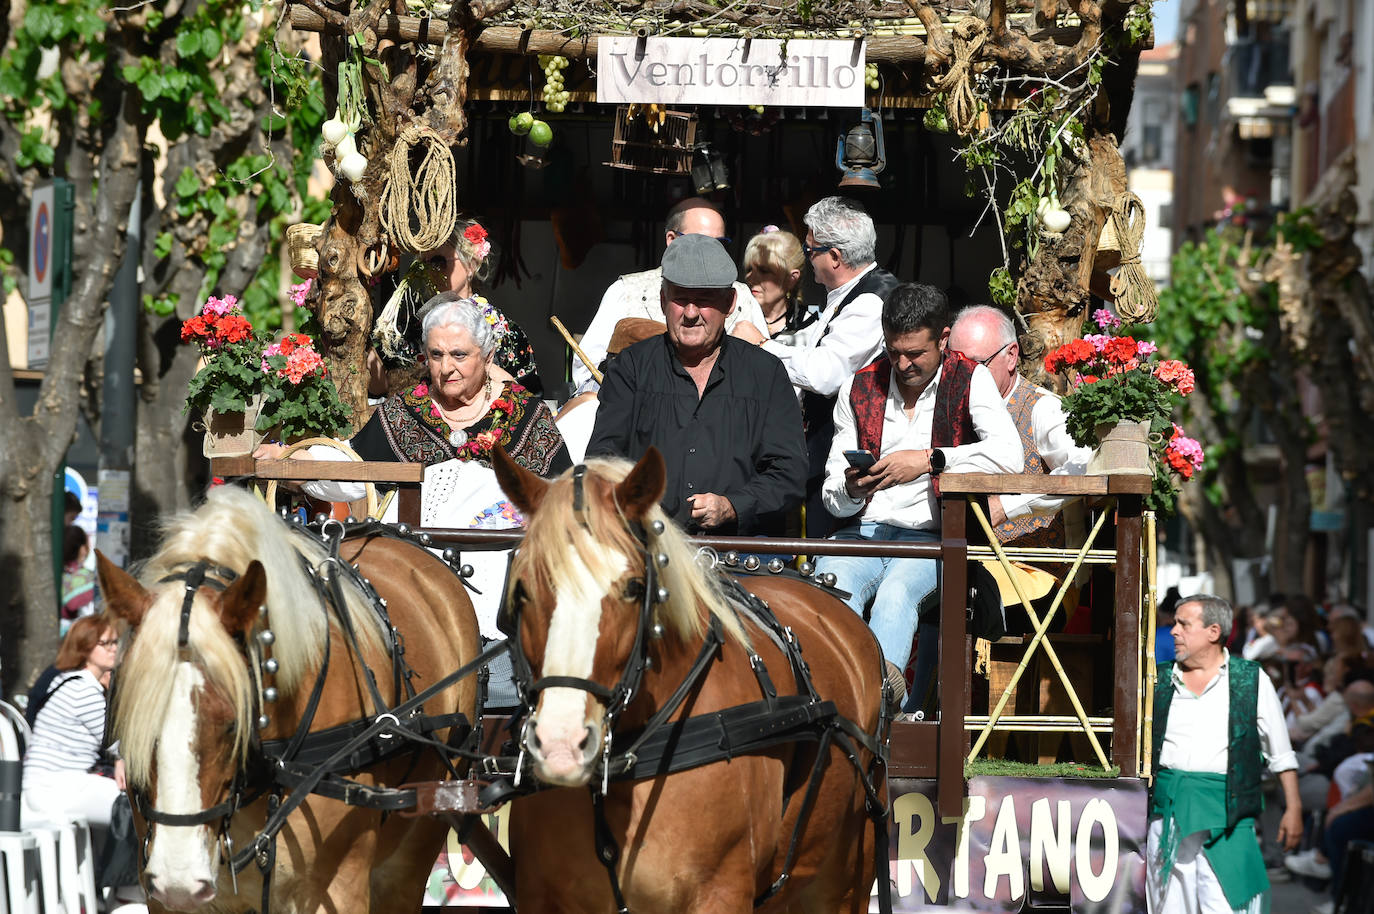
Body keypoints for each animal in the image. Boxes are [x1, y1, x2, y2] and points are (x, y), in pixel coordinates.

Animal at [494, 448, 890, 912]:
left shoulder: (721, 894)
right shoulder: (540, 896)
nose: (561, 743)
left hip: (847, 876)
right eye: (522, 588)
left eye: (634, 587)